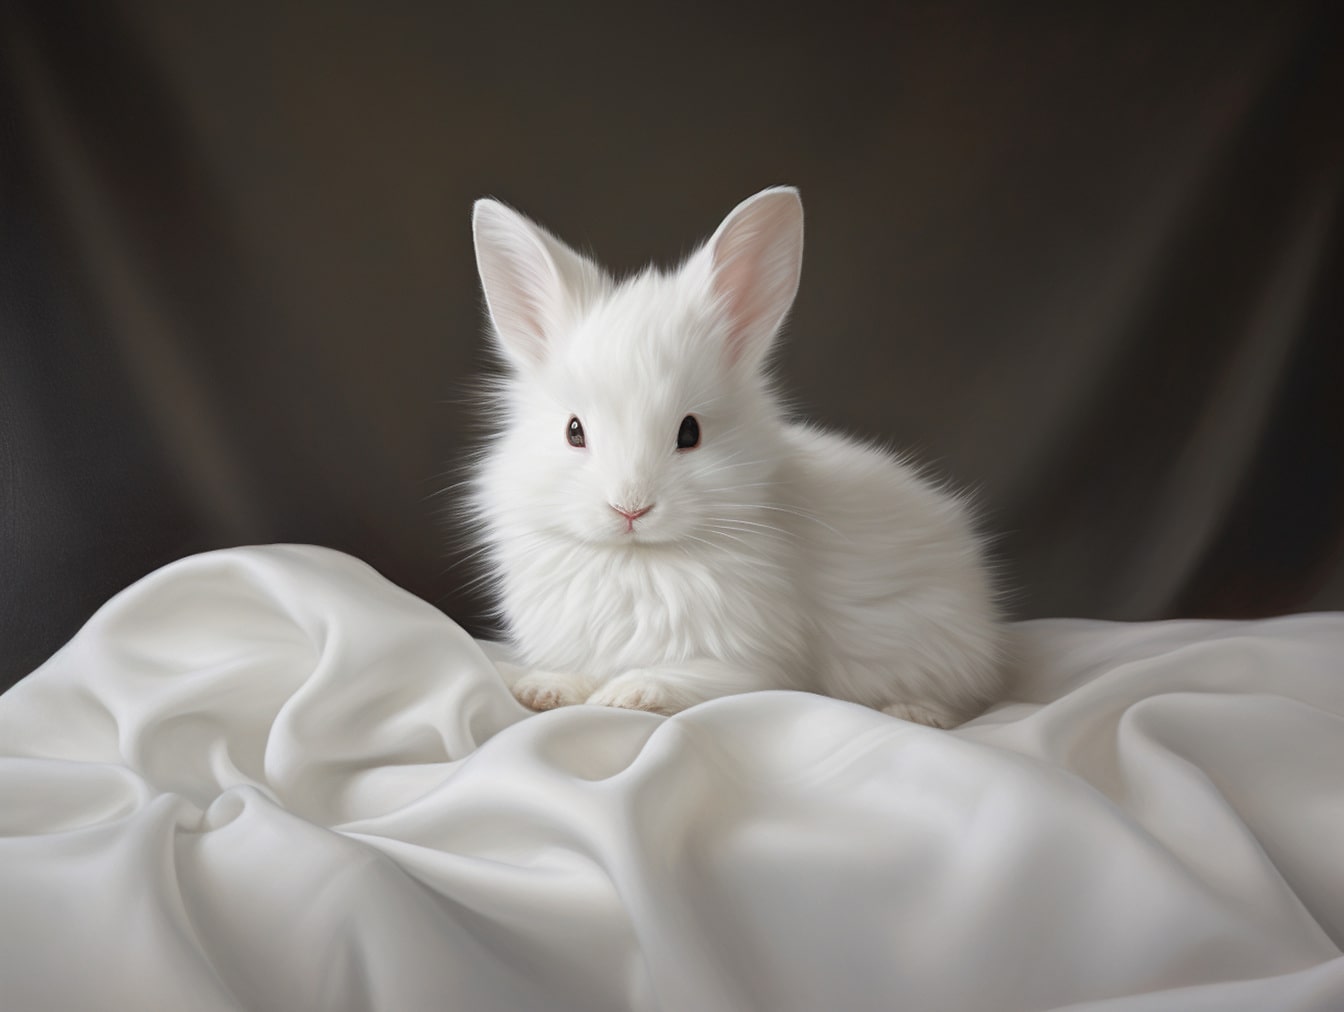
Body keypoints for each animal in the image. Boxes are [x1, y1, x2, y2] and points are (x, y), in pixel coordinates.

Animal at [466, 186, 1005, 728]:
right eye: (573, 431)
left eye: (690, 432)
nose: (630, 508)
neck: (638, 558)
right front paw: (544, 689)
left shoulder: (757, 668)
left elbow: (690, 679)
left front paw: (628, 694)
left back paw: (914, 712)